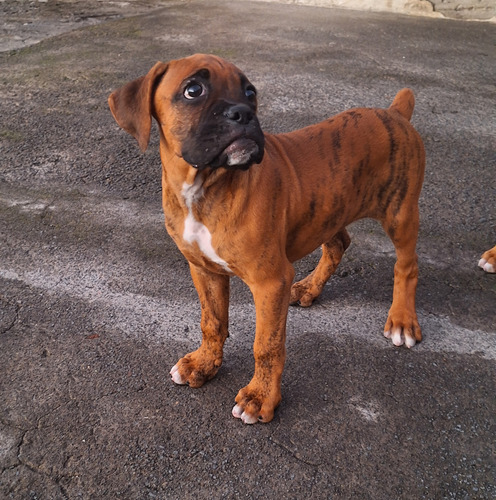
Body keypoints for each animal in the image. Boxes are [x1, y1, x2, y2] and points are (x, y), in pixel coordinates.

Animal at [108, 53, 426, 422]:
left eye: (250, 92)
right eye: (193, 89)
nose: (243, 113)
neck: (207, 188)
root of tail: (394, 112)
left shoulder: (270, 282)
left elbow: (267, 345)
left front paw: (260, 397)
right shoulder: (204, 270)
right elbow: (212, 321)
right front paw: (204, 364)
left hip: (400, 213)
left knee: (407, 265)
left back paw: (402, 321)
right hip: (332, 210)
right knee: (338, 244)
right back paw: (309, 288)